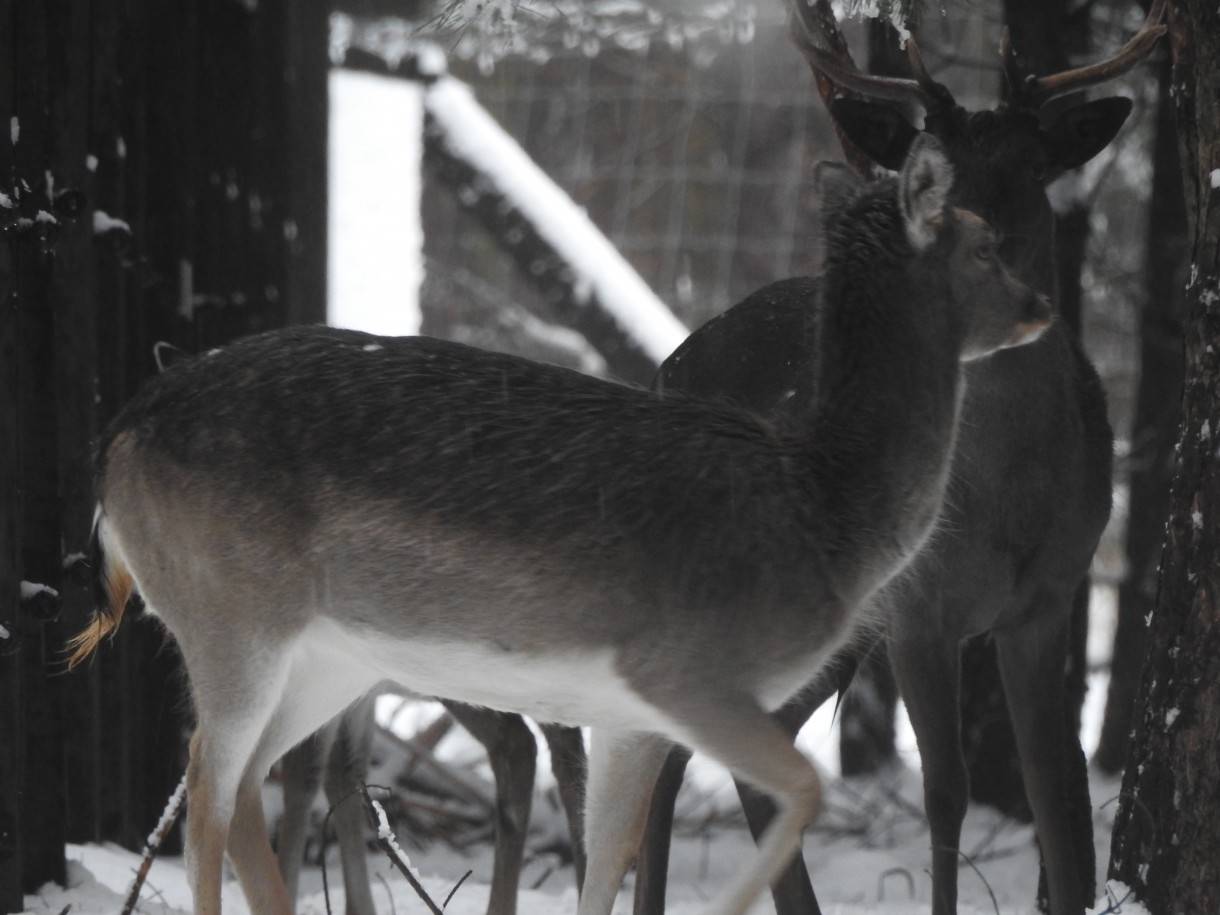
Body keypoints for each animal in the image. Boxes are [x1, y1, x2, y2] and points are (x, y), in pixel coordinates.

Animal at [634, 1, 1166, 915]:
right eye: (930, 168)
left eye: (1034, 164)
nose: (983, 241)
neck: (999, 506)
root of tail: (670, 362)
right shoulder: (920, 607)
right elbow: (945, 791)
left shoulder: (1051, 596)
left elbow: (1056, 794)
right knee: (666, 750)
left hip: (831, 624)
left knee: (750, 746)